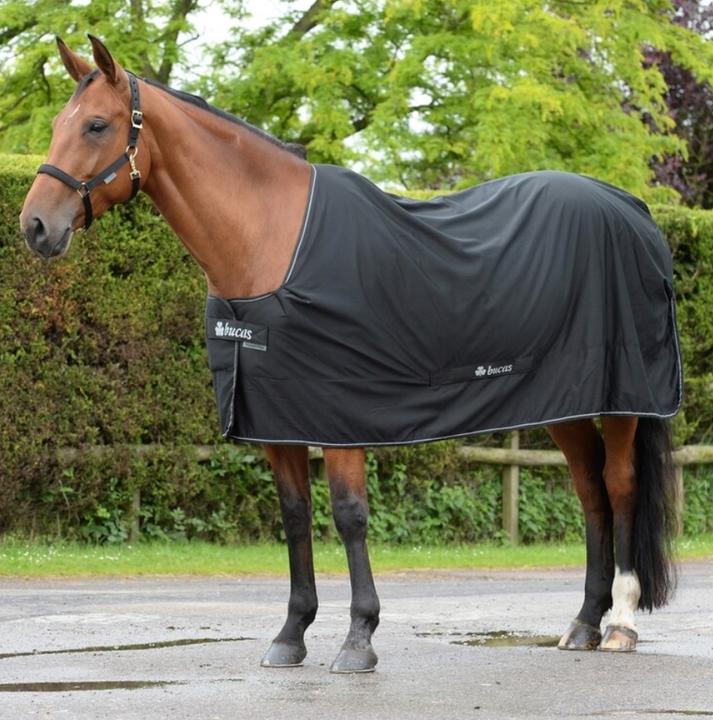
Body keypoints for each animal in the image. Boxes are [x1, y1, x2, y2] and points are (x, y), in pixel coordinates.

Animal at [20, 36, 681, 674]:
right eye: (56, 123)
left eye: (97, 125)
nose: (34, 226)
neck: (272, 244)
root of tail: (633, 210)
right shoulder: (276, 419)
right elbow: (293, 516)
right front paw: (291, 635)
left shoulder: (341, 414)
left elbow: (349, 514)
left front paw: (359, 638)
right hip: (564, 402)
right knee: (590, 492)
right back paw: (583, 624)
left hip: (624, 400)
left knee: (619, 486)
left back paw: (620, 625)